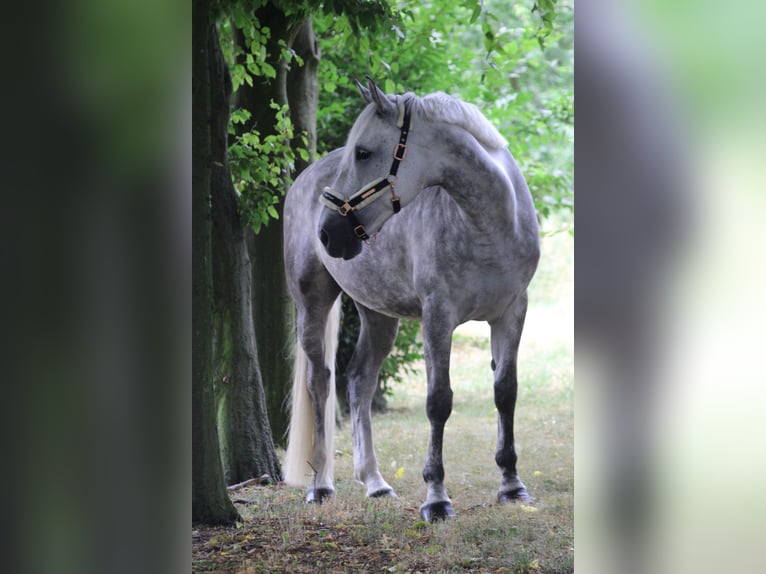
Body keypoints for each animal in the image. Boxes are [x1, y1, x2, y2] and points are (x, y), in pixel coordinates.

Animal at [282, 78, 540, 522]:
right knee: (320, 383)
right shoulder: (437, 317)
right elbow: (439, 402)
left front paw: (511, 486)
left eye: (363, 152)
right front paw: (436, 498)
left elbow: (505, 392)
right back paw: (320, 485)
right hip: (312, 303)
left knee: (359, 381)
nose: (328, 233)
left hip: (378, 314)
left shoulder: (511, 313)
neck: (491, 225)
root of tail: (304, 178)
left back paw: (375, 483)